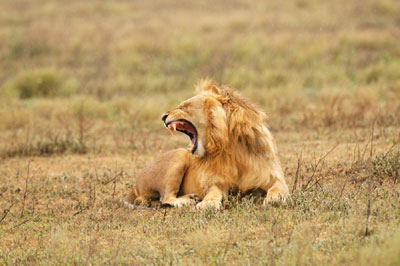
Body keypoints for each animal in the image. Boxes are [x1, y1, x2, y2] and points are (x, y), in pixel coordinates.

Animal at [124, 79, 288, 210]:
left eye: (184, 106)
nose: (163, 116)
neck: (232, 148)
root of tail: (136, 185)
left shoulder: (274, 177)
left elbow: (278, 189)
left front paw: (274, 199)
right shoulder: (218, 182)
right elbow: (213, 193)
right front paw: (207, 203)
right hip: (179, 154)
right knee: (165, 197)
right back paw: (187, 200)